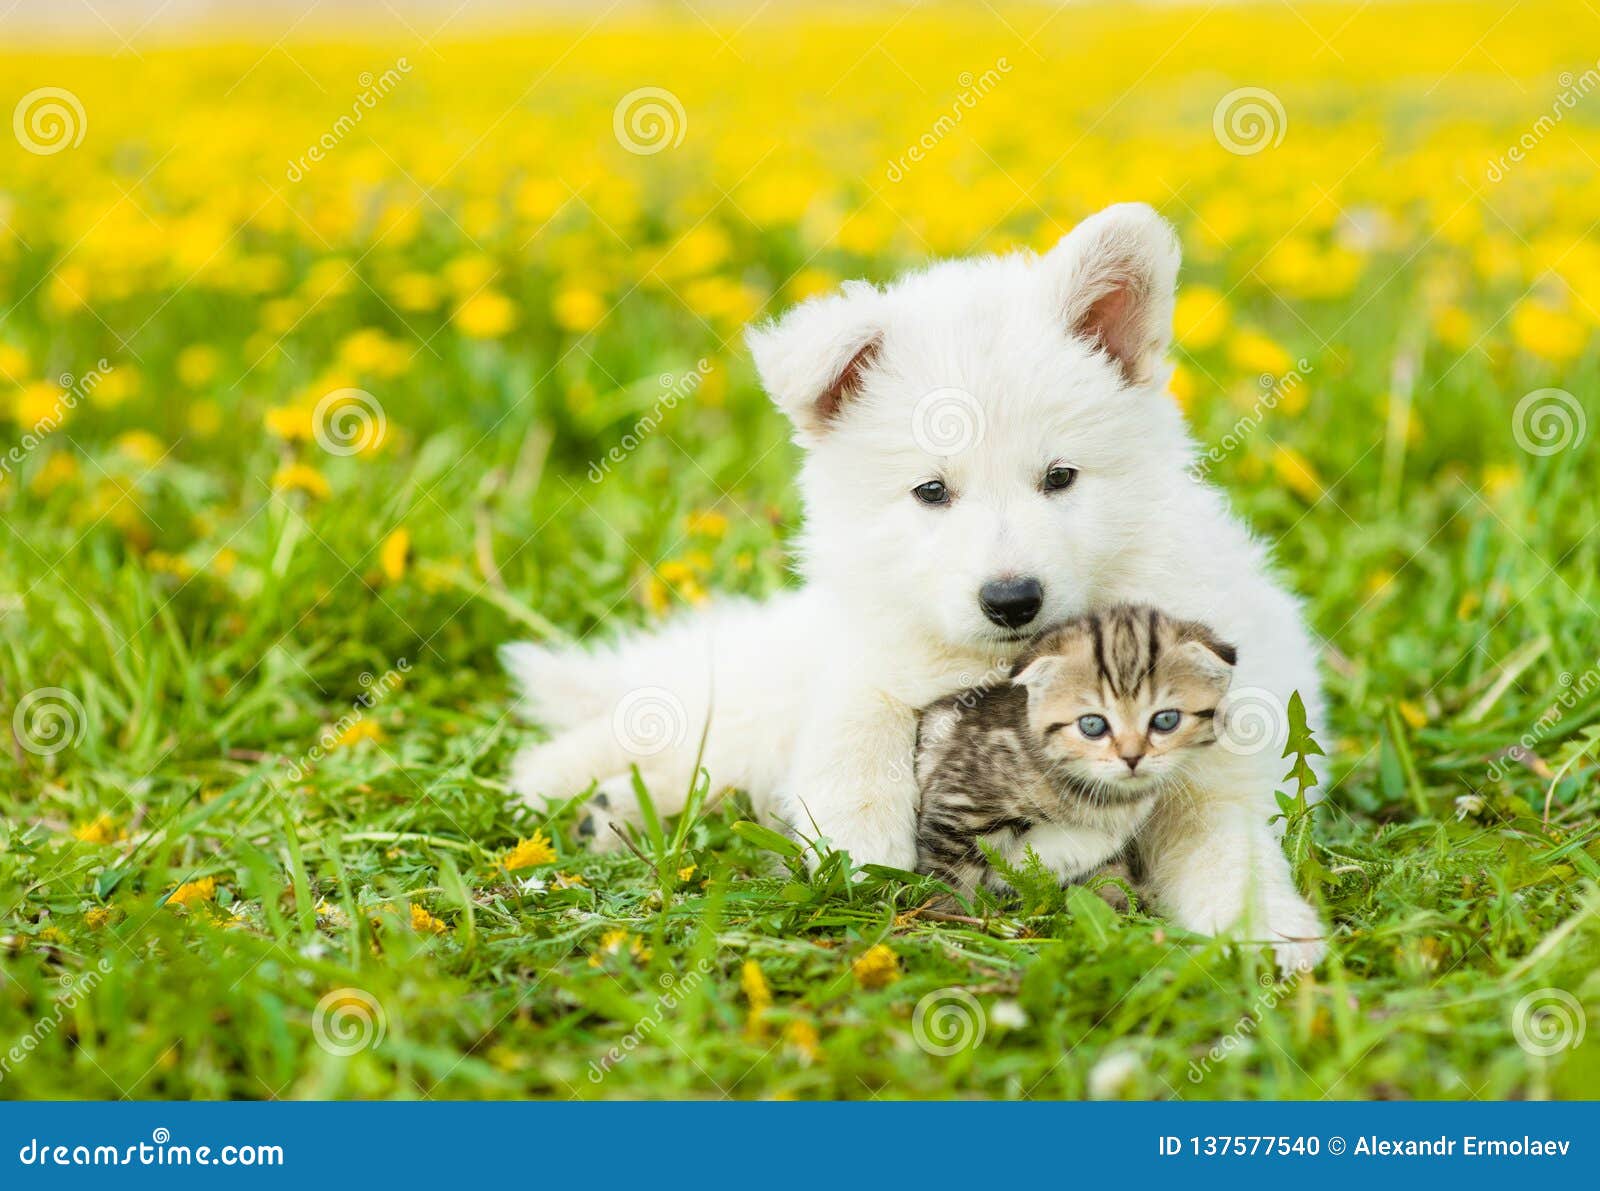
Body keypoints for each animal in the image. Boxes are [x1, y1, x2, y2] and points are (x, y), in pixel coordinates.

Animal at [915, 605, 1235, 902]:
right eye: (1092, 725)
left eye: (1166, 720)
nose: (1132, 758)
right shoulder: (959, 802)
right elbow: (949, 876)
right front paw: (949, 910)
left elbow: (1111, 879)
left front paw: (1121, 900)